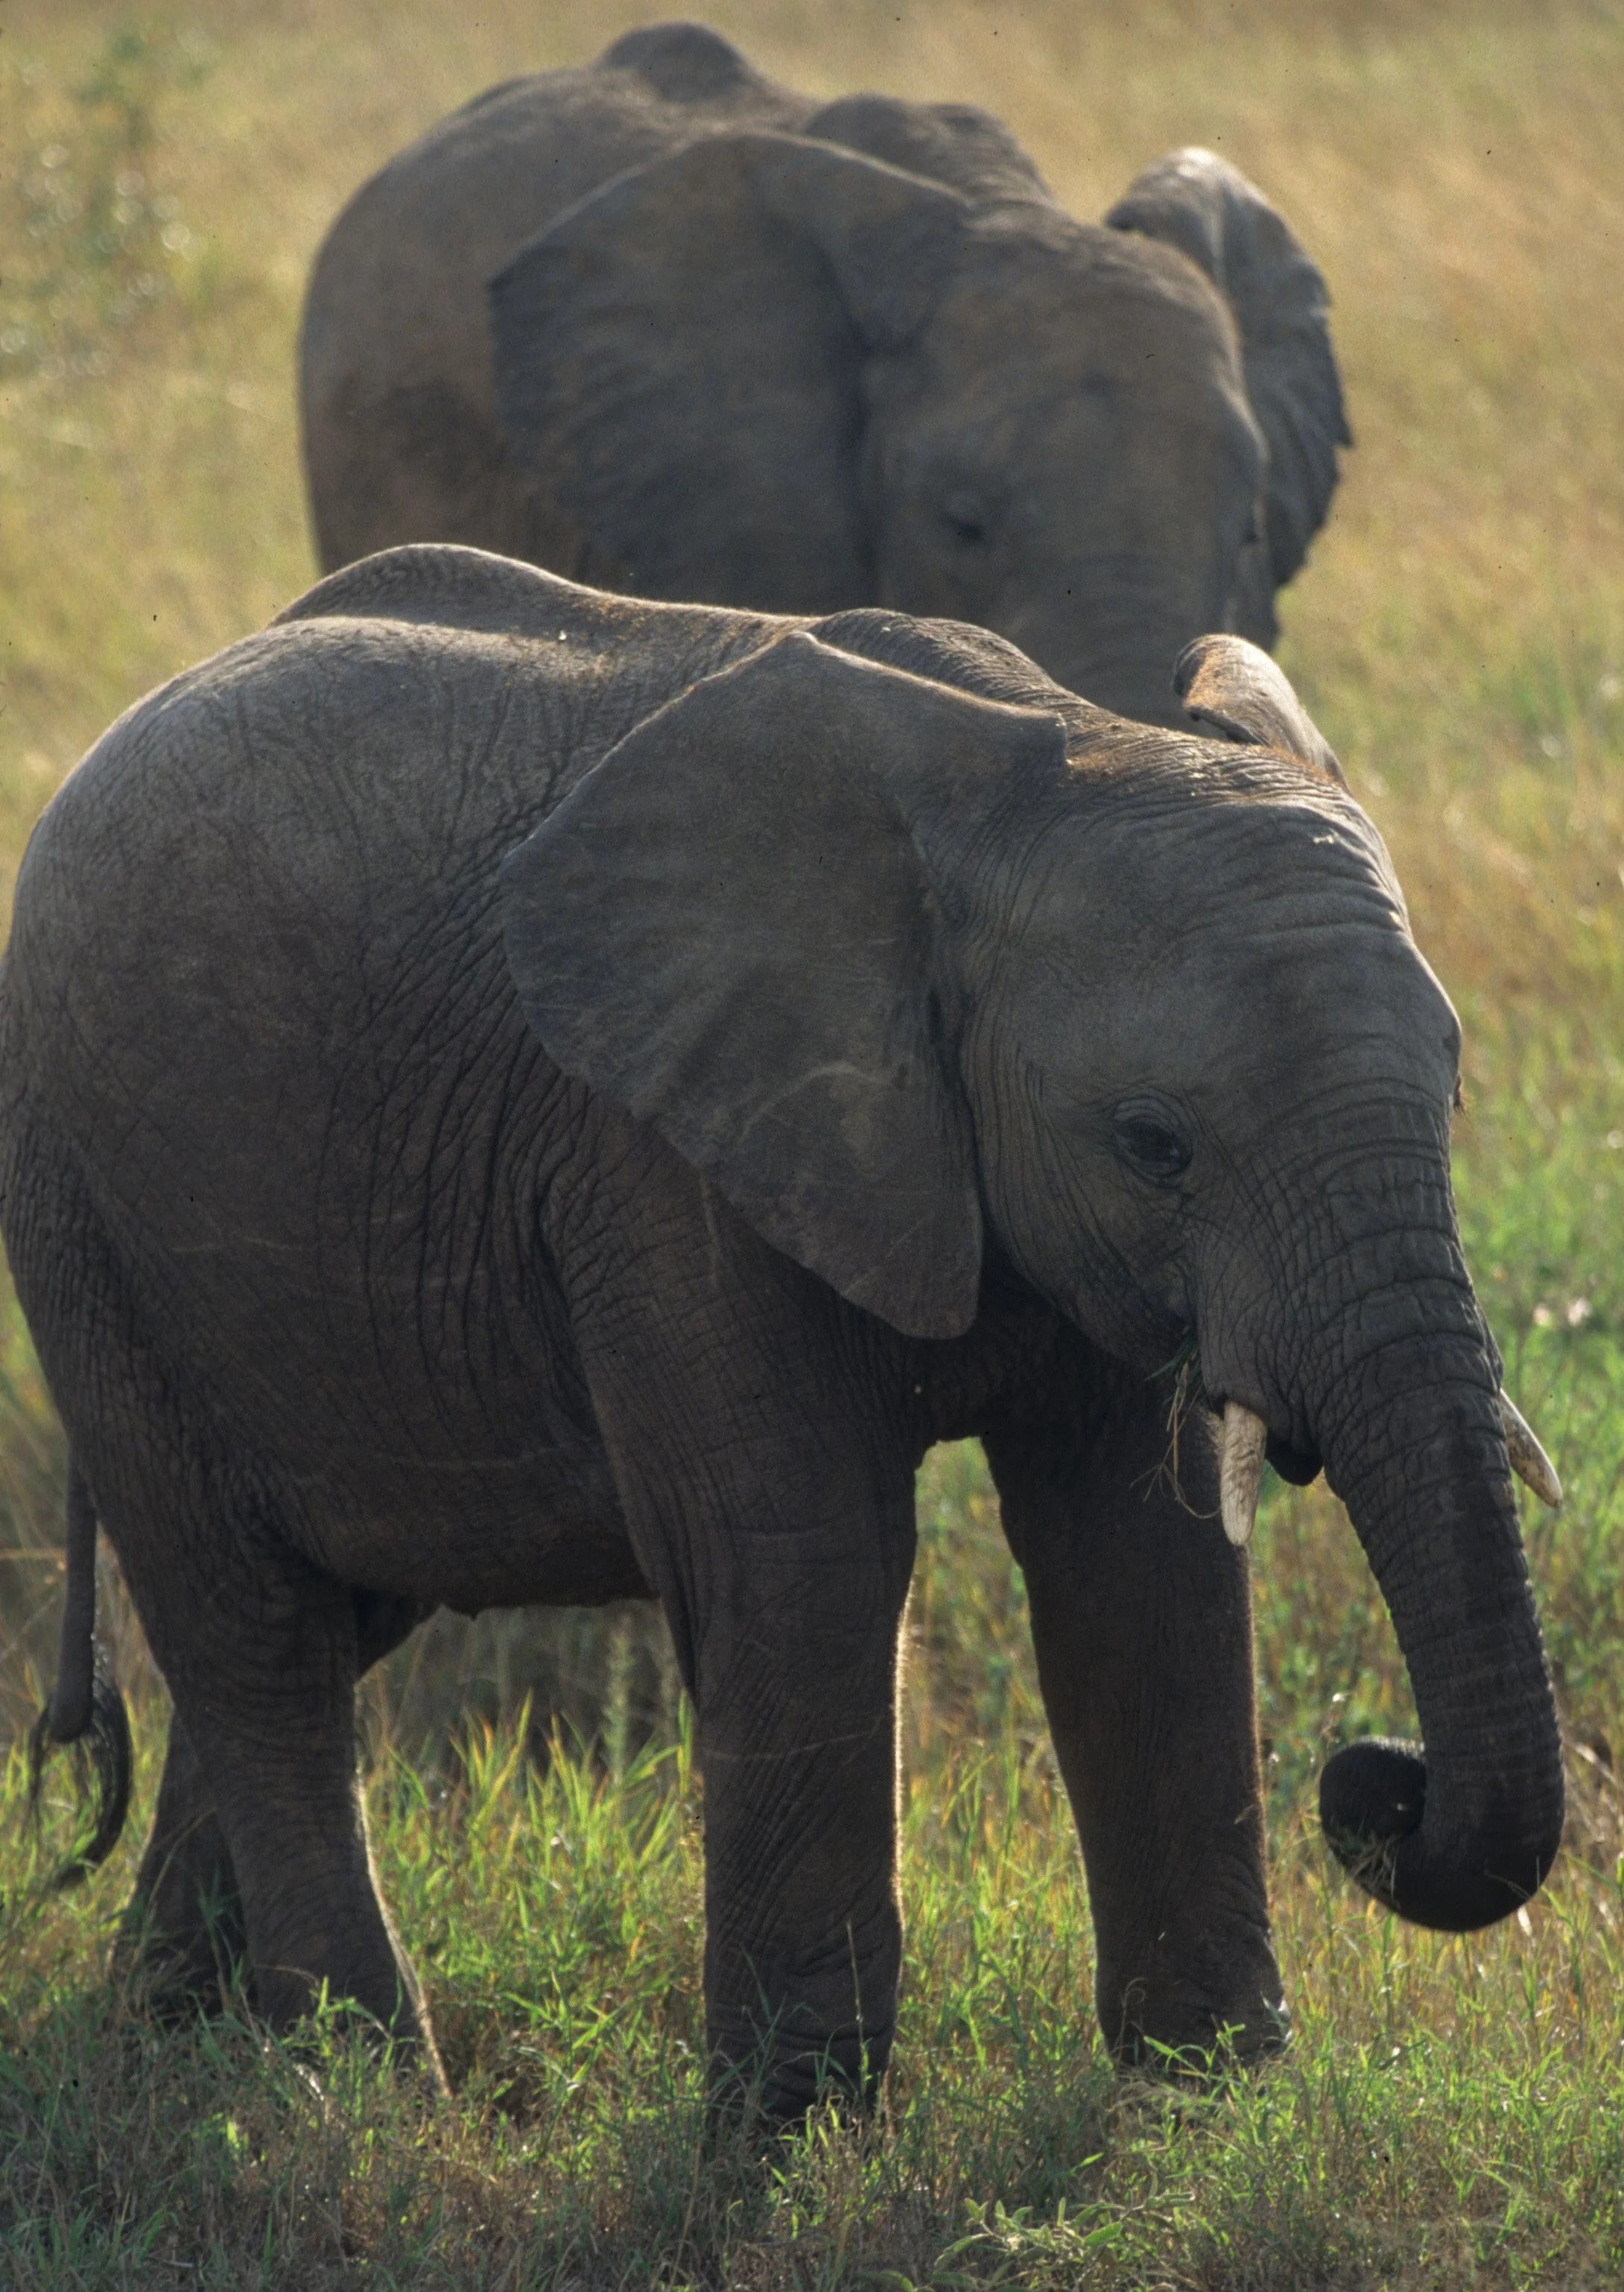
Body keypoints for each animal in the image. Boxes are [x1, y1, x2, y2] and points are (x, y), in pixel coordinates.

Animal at [10, 544, 1563, 2117]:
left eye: (1451, 1094)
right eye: (1154, 1143)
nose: (1373, 1783)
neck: (1033, 764)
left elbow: (1144, 1561)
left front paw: (1206, 2103)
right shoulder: (658, 1153)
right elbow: (807, 1564)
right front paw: (794, 2136)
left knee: (337, 1608)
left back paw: (175, 2053)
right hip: (90, 1220)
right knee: (251, 1633)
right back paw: (372, 2097)